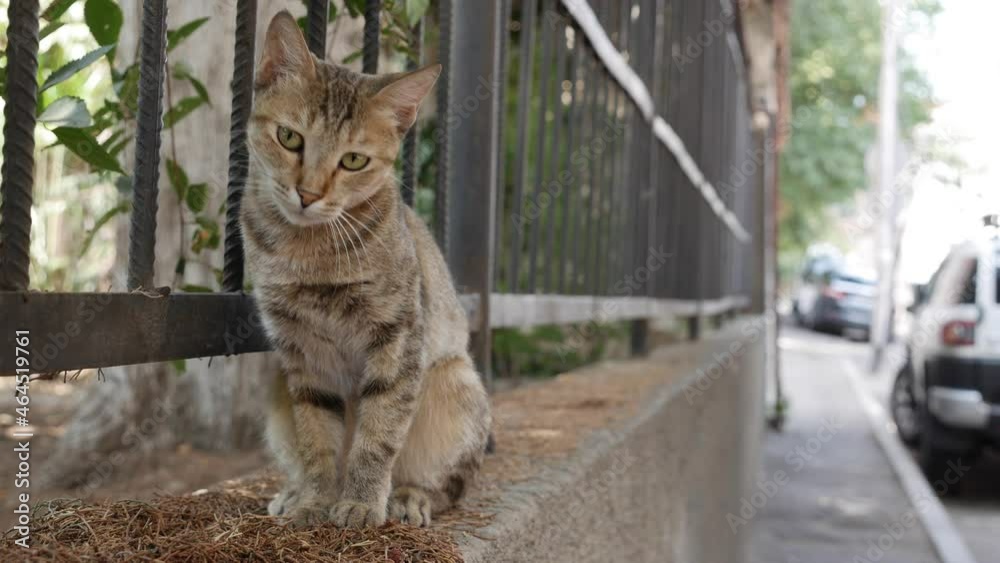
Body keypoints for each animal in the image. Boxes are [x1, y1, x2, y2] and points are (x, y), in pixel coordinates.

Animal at [240, 11, 491, 529]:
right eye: (289, 137)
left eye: (354, 160)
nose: (308, 194)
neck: (307, 250)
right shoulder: (300, 351)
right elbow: (317, 438)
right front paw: (315, 501)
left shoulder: (397, 339)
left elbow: (379, 432)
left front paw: (359, 501)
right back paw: (293, 493)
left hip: (454, 383)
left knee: (449, 485)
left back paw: (409, 497)